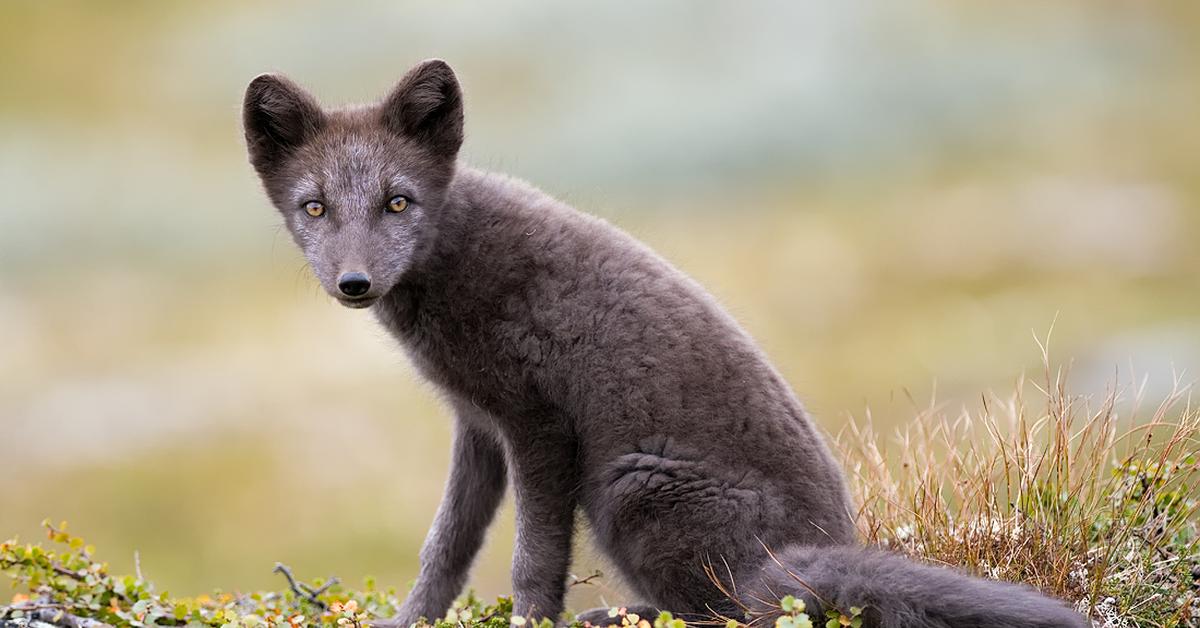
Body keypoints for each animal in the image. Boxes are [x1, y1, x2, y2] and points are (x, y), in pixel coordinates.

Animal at [241, 60, 1089, 628]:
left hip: (628, 486)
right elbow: (445, 546)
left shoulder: (538, 426)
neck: (454, 257)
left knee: (733, 615)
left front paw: (531, 620)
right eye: (314, 207)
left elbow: (532, 560)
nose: (354, 282)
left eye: (398, 202)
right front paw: (411, 619)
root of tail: (811, 546)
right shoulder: (478, 426)